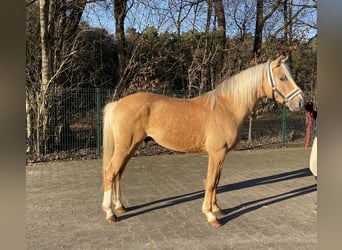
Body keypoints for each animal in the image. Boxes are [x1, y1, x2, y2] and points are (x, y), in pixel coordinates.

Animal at [100, 54, 304, 227]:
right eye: (282, 78)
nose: (301, 102)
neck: (227, 107)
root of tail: (118, 103)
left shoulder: (221, 155)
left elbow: (217, 181)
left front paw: (217, 209)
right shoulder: (216, 153)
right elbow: (211, 181)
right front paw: (210, 215)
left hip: (129, 148)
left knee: (118, 173)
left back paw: (120, 206)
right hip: (125, 147)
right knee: (111, 172)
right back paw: (110, 213)